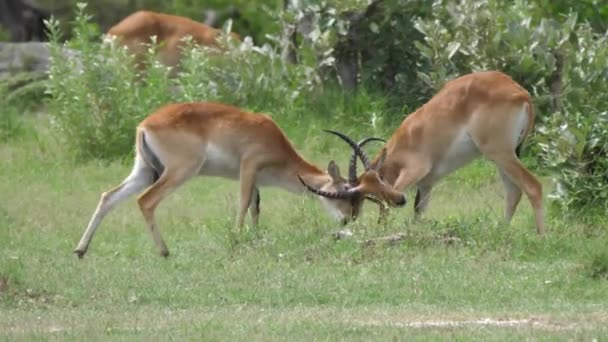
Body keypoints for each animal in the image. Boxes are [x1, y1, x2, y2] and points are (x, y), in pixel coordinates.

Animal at [75, 103, 404, 258]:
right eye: (348, 192)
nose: (348, 221)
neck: (273, 141)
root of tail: (145, 124)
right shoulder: (248, 168)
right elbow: (244, 204)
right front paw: (236, 240)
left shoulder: (257, 179)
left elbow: (257, 208)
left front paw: (256, 239)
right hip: (179, 171)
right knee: (146, 201)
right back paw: (164, 251)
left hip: (144, 171)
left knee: (108, 196)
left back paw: (80, 250)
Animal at [342, 72, 548, 235]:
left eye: (369, 192)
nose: (349, 218)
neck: (408, 137)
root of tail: (520, 92)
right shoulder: (427, 184)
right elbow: (418, 211)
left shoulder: (415, 170)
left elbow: (391, 202)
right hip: (504, 156)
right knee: (514, 191)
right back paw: (501, 232)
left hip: (501, 154)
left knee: (533, 186)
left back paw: (541, 236)